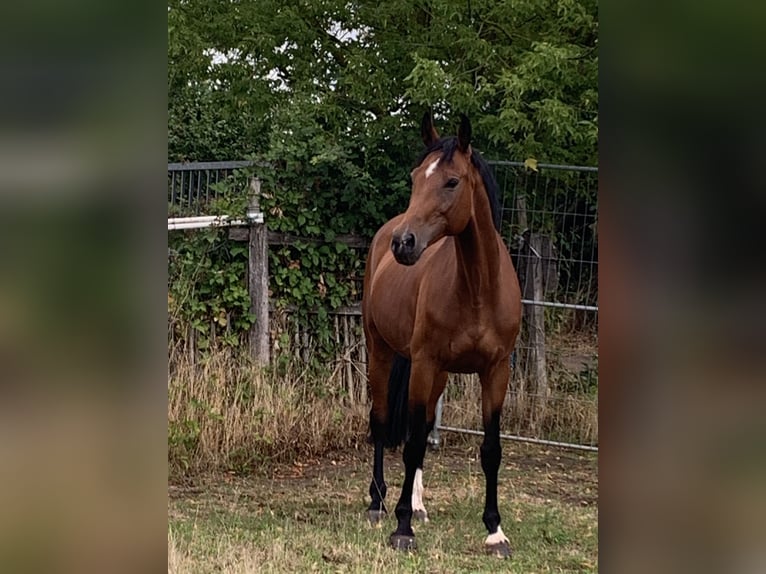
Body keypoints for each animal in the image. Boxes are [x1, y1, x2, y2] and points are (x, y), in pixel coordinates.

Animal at [364, 112, 524, 560]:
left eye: (452, 181)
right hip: (381, 351)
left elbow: (491, 450)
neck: (477, 290)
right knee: (382, 421)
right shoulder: (424, 363)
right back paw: (379, 501)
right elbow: (414, 442)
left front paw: (495, 531)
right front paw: (401, 529)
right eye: (416, 177)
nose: (404, 243)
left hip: (436, 376)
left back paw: (417, 505)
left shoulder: (495, 372)